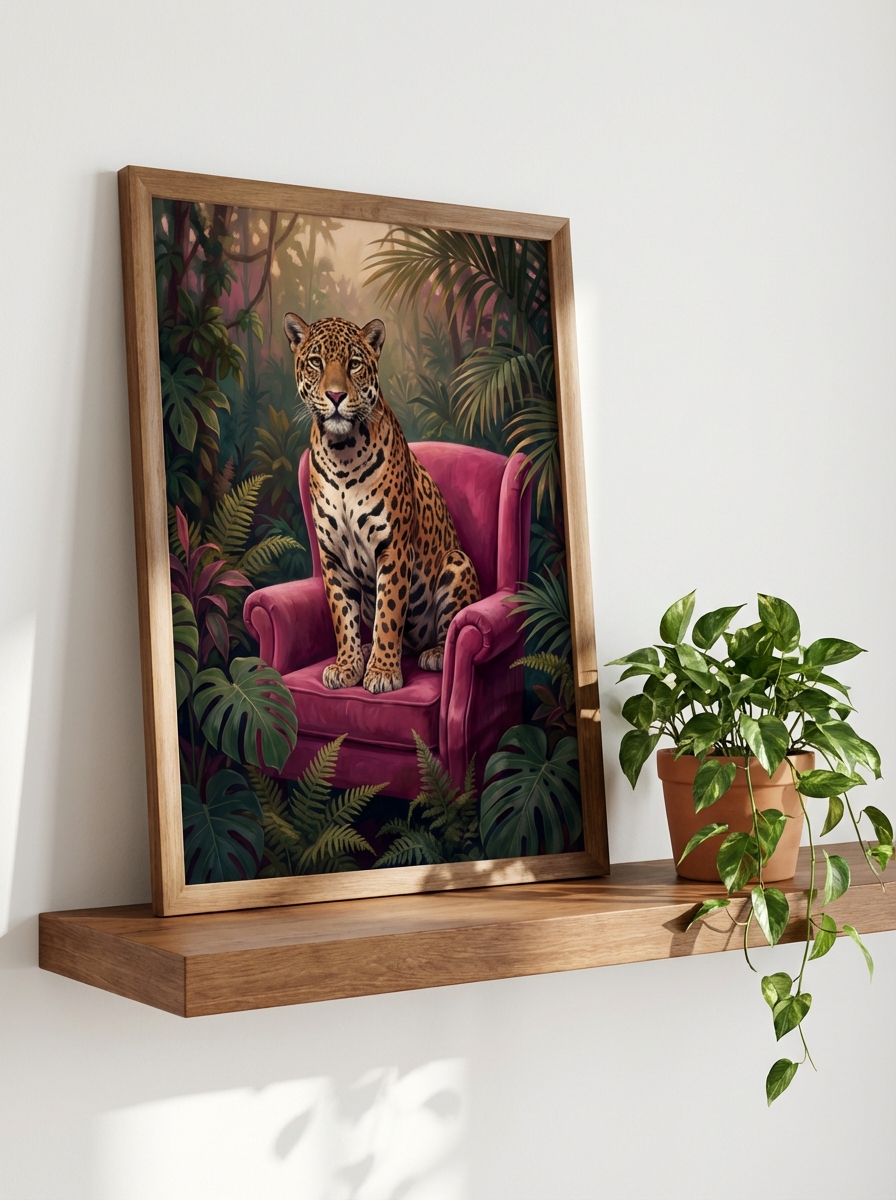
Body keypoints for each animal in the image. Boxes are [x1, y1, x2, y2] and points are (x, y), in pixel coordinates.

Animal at [284, 313, 481, 694]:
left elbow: (389, 613)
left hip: (457, 562)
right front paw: (347, 665)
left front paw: (383, 672)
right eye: (316, 362)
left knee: (449, 631)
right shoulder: (332, 558)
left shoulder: (393, 548)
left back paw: (434, 654)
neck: (341, 452)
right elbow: (341, 616)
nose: (335, 395)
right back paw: (364, 651)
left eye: (354, 364)